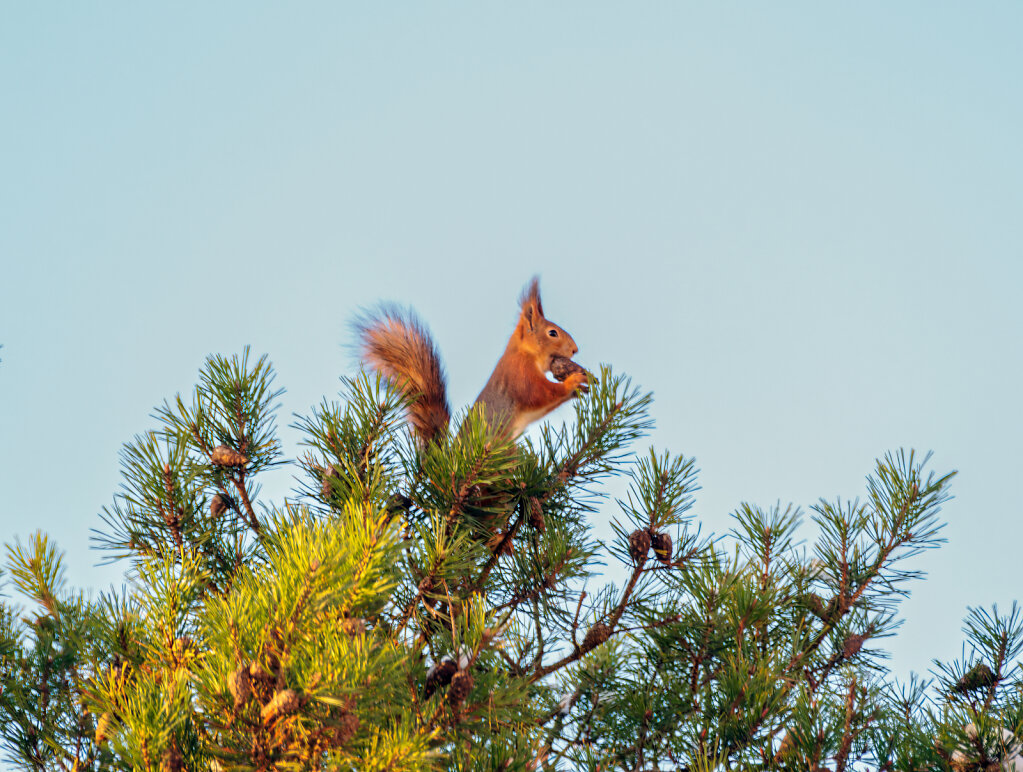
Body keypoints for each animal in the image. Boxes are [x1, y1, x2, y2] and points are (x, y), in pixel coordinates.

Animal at [356, 280, 589, 447]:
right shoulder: (520, 373)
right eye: (552, 333)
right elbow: (539, 393)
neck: (524, 353)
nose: (575, 349)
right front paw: (573, 382)